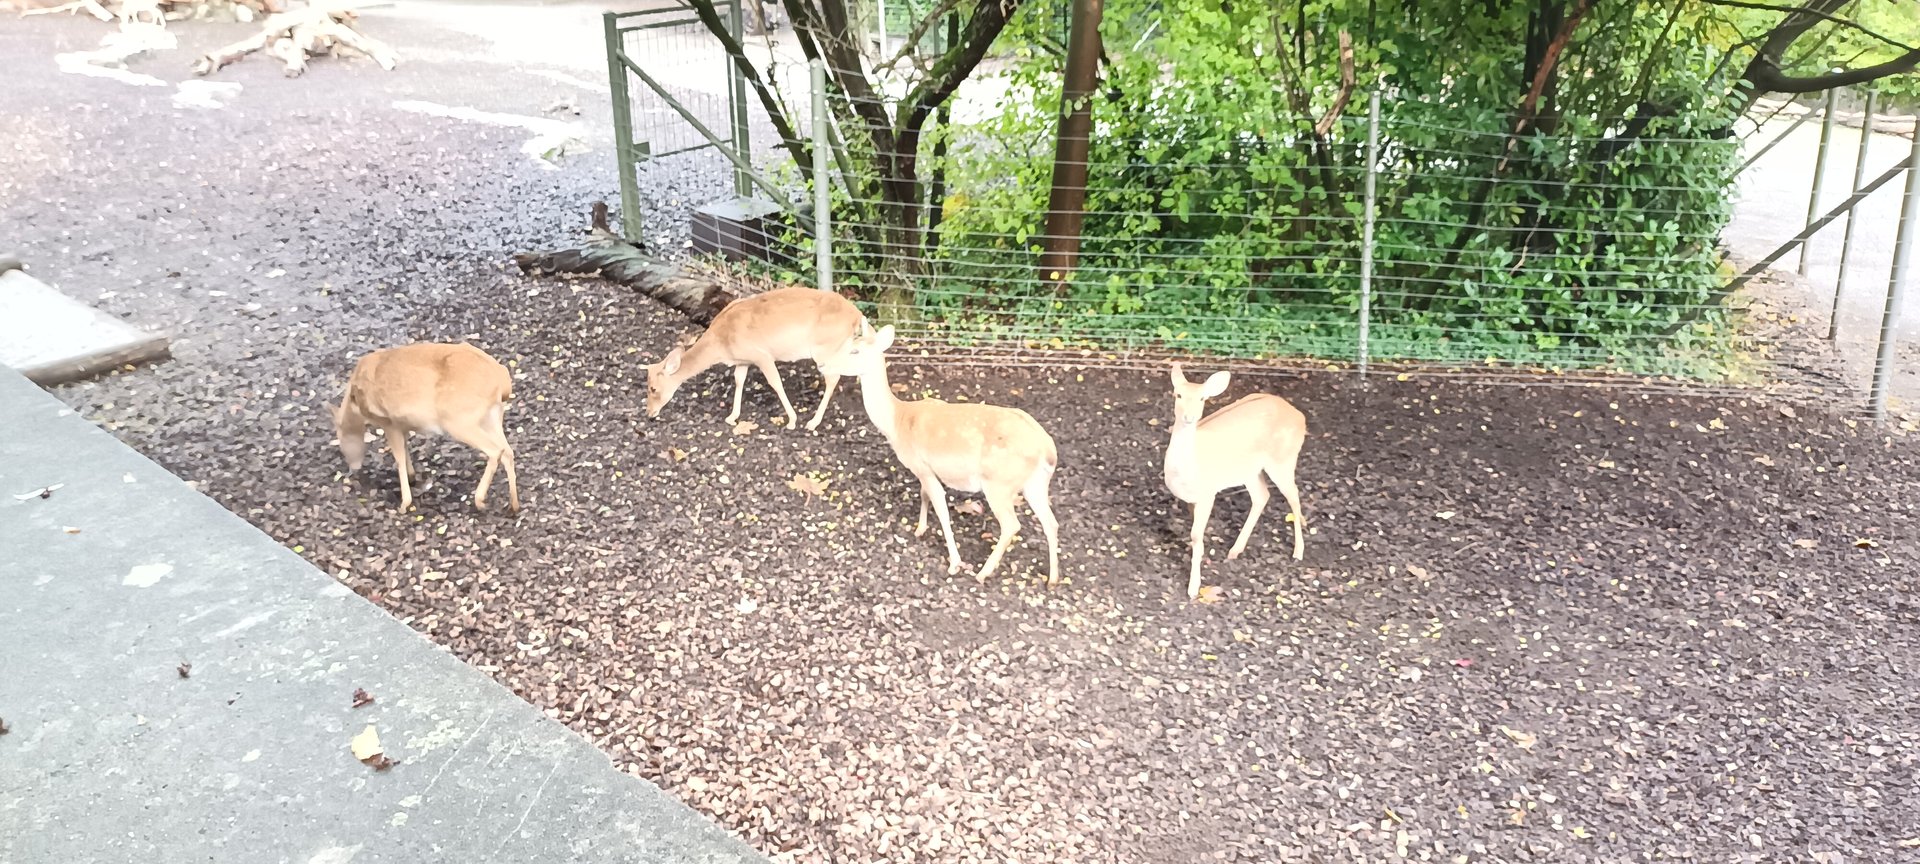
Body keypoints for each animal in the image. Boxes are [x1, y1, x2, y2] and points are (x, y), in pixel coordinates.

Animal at [332, 342, 520, 515]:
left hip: (458, 420)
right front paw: (412, 477)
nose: (353, 468)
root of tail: (502, 383)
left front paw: (404, 504)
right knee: (508, 451)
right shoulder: (402, 424)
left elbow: (398, 458)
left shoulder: (388, 422)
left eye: (340, 441)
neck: (355, 400)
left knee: (496, 451)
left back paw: (480, 501)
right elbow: (405, 449)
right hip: (492, 417)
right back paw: (513, 505)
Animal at [644, 286, 868, 432]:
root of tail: (857, 315)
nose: (649, 413)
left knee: (833, 377)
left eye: (653, 388)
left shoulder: (762, 355)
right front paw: (732, 417)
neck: (721, 343)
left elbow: (775, 382)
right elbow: (739, 379)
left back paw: (812, 422)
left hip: (824, 349)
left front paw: (792, 420)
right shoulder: (743, 360)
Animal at [818, 322, 1062, 585]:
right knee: (1051, 522)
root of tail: (1048, 450)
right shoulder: (926, 469)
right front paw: (920, 529)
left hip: (999, 482)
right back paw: (1053, 579)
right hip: (1035, 483)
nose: (822, 364)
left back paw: (982, 573)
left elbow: (942, 510)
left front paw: (954, 563)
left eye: (854, 351)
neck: (898, 422)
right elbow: (924, 495)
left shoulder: (921, 465)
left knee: (1011, 525)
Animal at [1162, 363, 1306, 600]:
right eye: (1178, 394)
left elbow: (1196, 535)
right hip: (1250, 470)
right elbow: (1195, 534)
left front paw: (1193, 588)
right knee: (1262, 495)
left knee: (1294, 496)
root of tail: (1301, 417)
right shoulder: (1192, 499)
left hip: (1283, 459)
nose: (1189, 417)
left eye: (1202, 398)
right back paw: (1235, 550)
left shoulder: (1208, 493)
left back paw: (1298, 551)